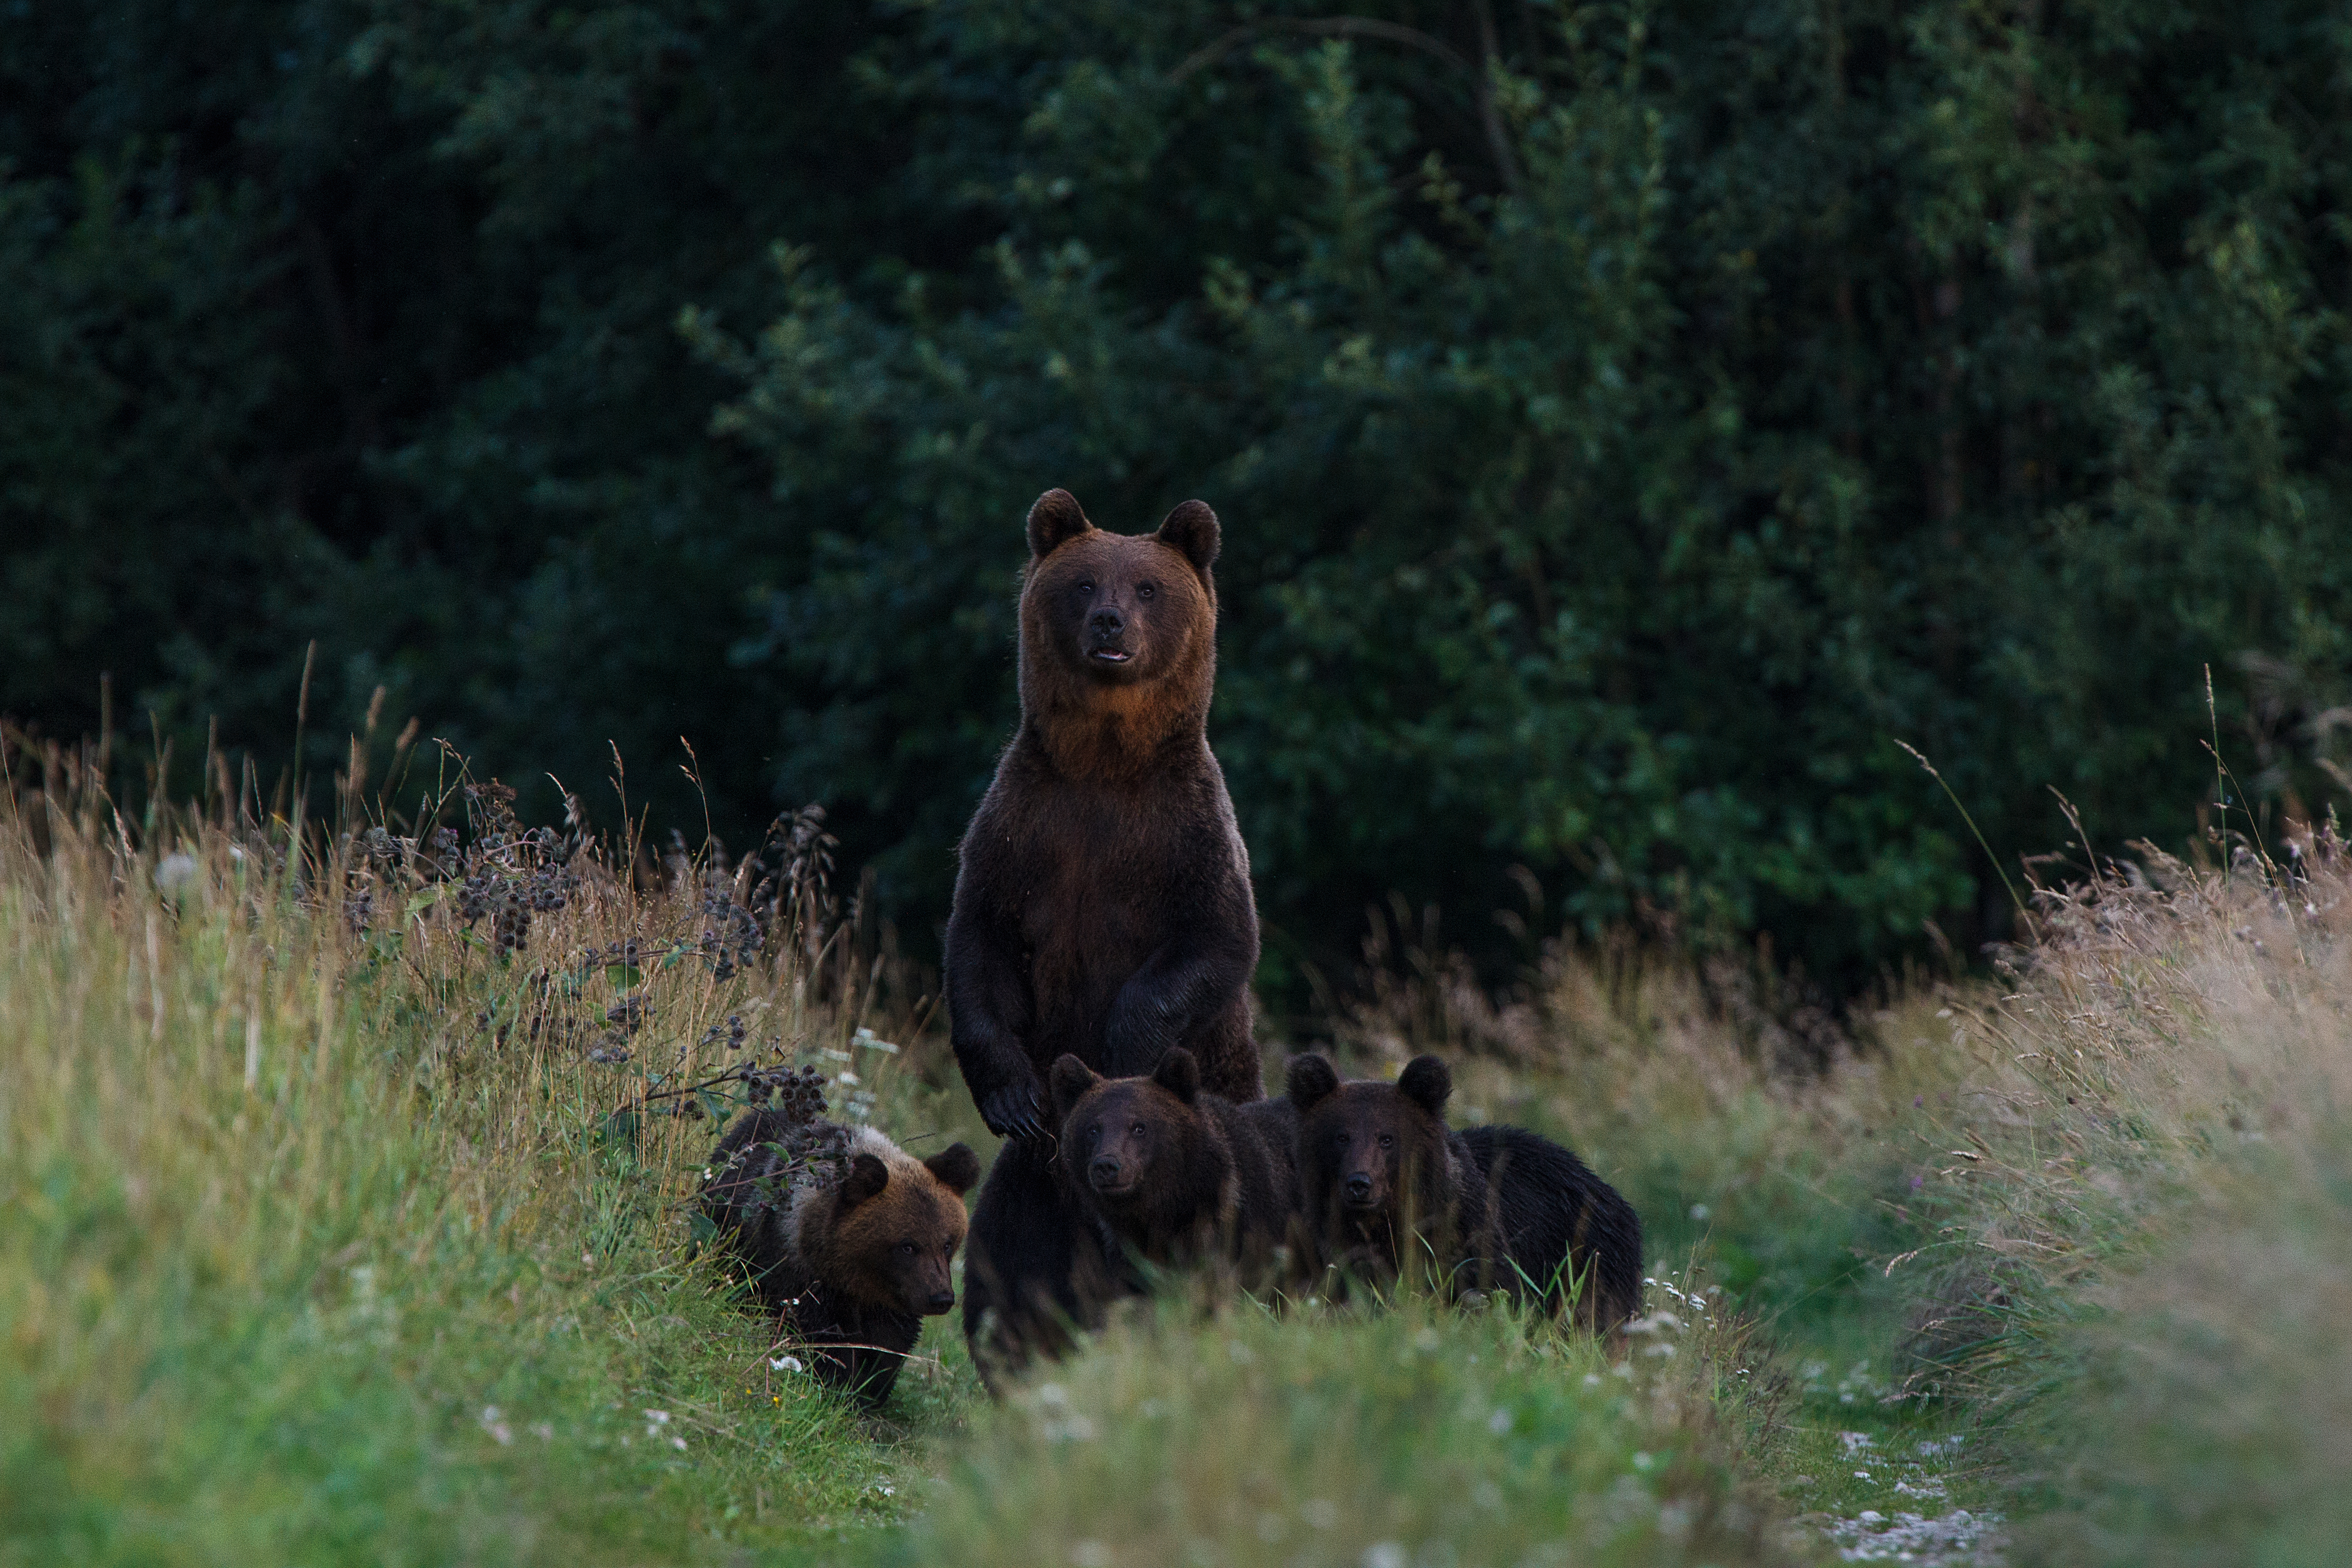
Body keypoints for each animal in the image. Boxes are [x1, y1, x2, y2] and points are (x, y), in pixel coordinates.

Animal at [941, 491, 1260, 1382]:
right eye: (1084, 581)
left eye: (1149, 585)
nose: (1111, 621)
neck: (1105, 764)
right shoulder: (1024, 829)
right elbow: (977, 943)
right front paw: (1013, 1094)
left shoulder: (1185, 836)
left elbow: (1214, 941)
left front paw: (1124, 1040)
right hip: (1034, 1188)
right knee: (1005, 1268)